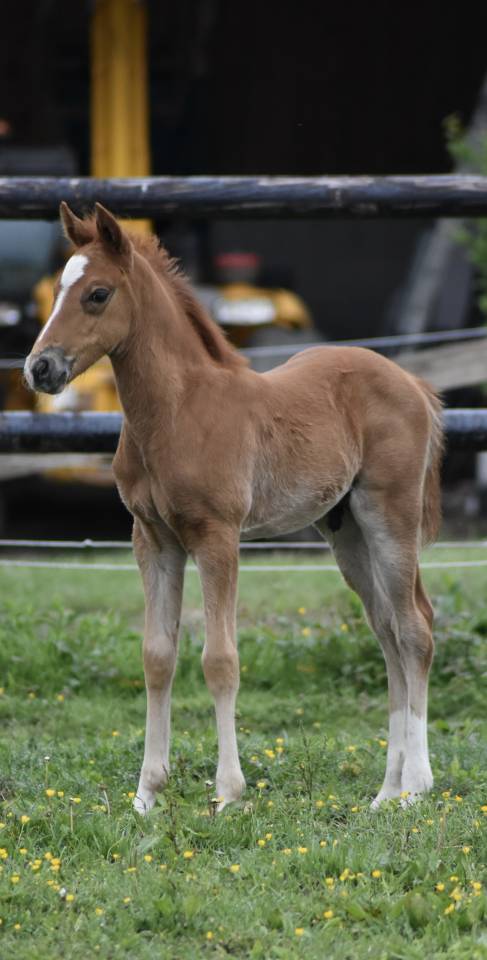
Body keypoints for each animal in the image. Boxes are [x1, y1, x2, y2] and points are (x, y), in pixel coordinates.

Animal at [24, 202, 443, 813]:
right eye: (57, 289)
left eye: (98, 294)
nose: (40, 369)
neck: (177, 411)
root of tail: (411, 380)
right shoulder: (153, 540)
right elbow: (157, 657)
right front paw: (146, 795)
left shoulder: (216, 536)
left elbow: (220, 660)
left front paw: (227, 794)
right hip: (346, 532)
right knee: (387, 630)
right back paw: (385, 793)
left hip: (391, 515)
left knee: (414, 629)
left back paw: (416, 786)